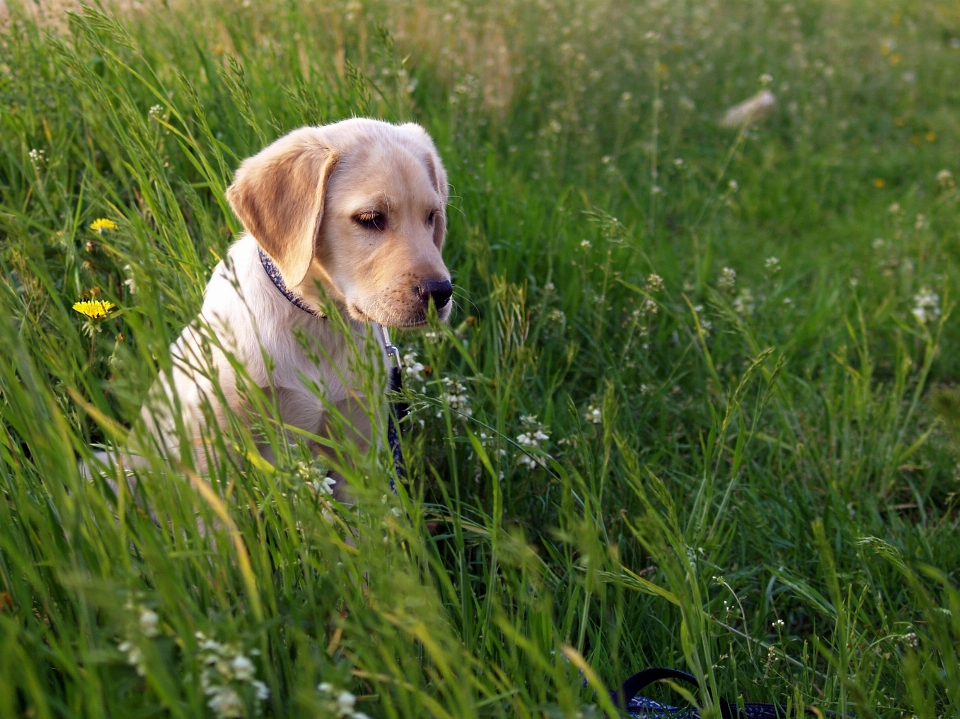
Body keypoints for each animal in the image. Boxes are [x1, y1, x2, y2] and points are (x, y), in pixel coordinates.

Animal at [141, 118, 452, 480]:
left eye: (431, 216)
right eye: (371, 218)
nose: (440, 292)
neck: (317, 322)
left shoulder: (361, 450)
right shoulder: (214, 442)